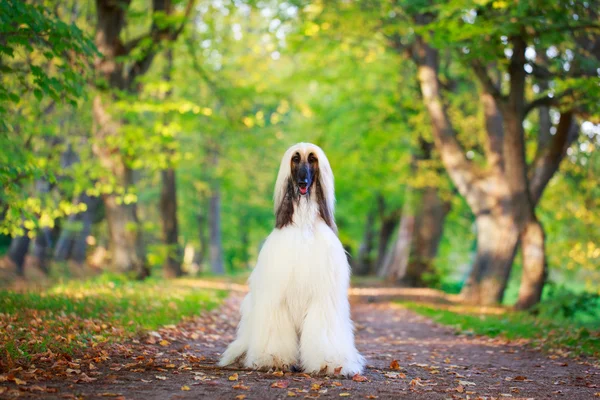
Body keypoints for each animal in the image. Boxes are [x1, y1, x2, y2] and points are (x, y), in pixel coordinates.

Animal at [218, 143, 364, 376]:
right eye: (295, 159)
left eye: (312, 159)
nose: (303, 182)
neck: (303, 223)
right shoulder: (277, 297)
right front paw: (273, 359)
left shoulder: (322, 296)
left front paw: (329, 362)